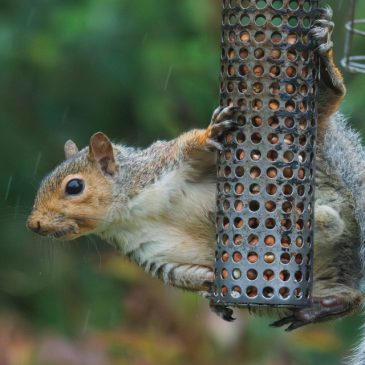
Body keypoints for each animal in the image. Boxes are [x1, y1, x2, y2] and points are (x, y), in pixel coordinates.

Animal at [27, 7, 364, 364]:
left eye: (74, 187)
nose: (33, 224)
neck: (128, 211)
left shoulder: (164, 164)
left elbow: (192, 146)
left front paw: (211, 131)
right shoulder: (147, 250)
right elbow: (180, 275)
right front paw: (211, 287)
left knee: (331, 101)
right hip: (324, 279)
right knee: (351, 298)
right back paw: (321, 305)